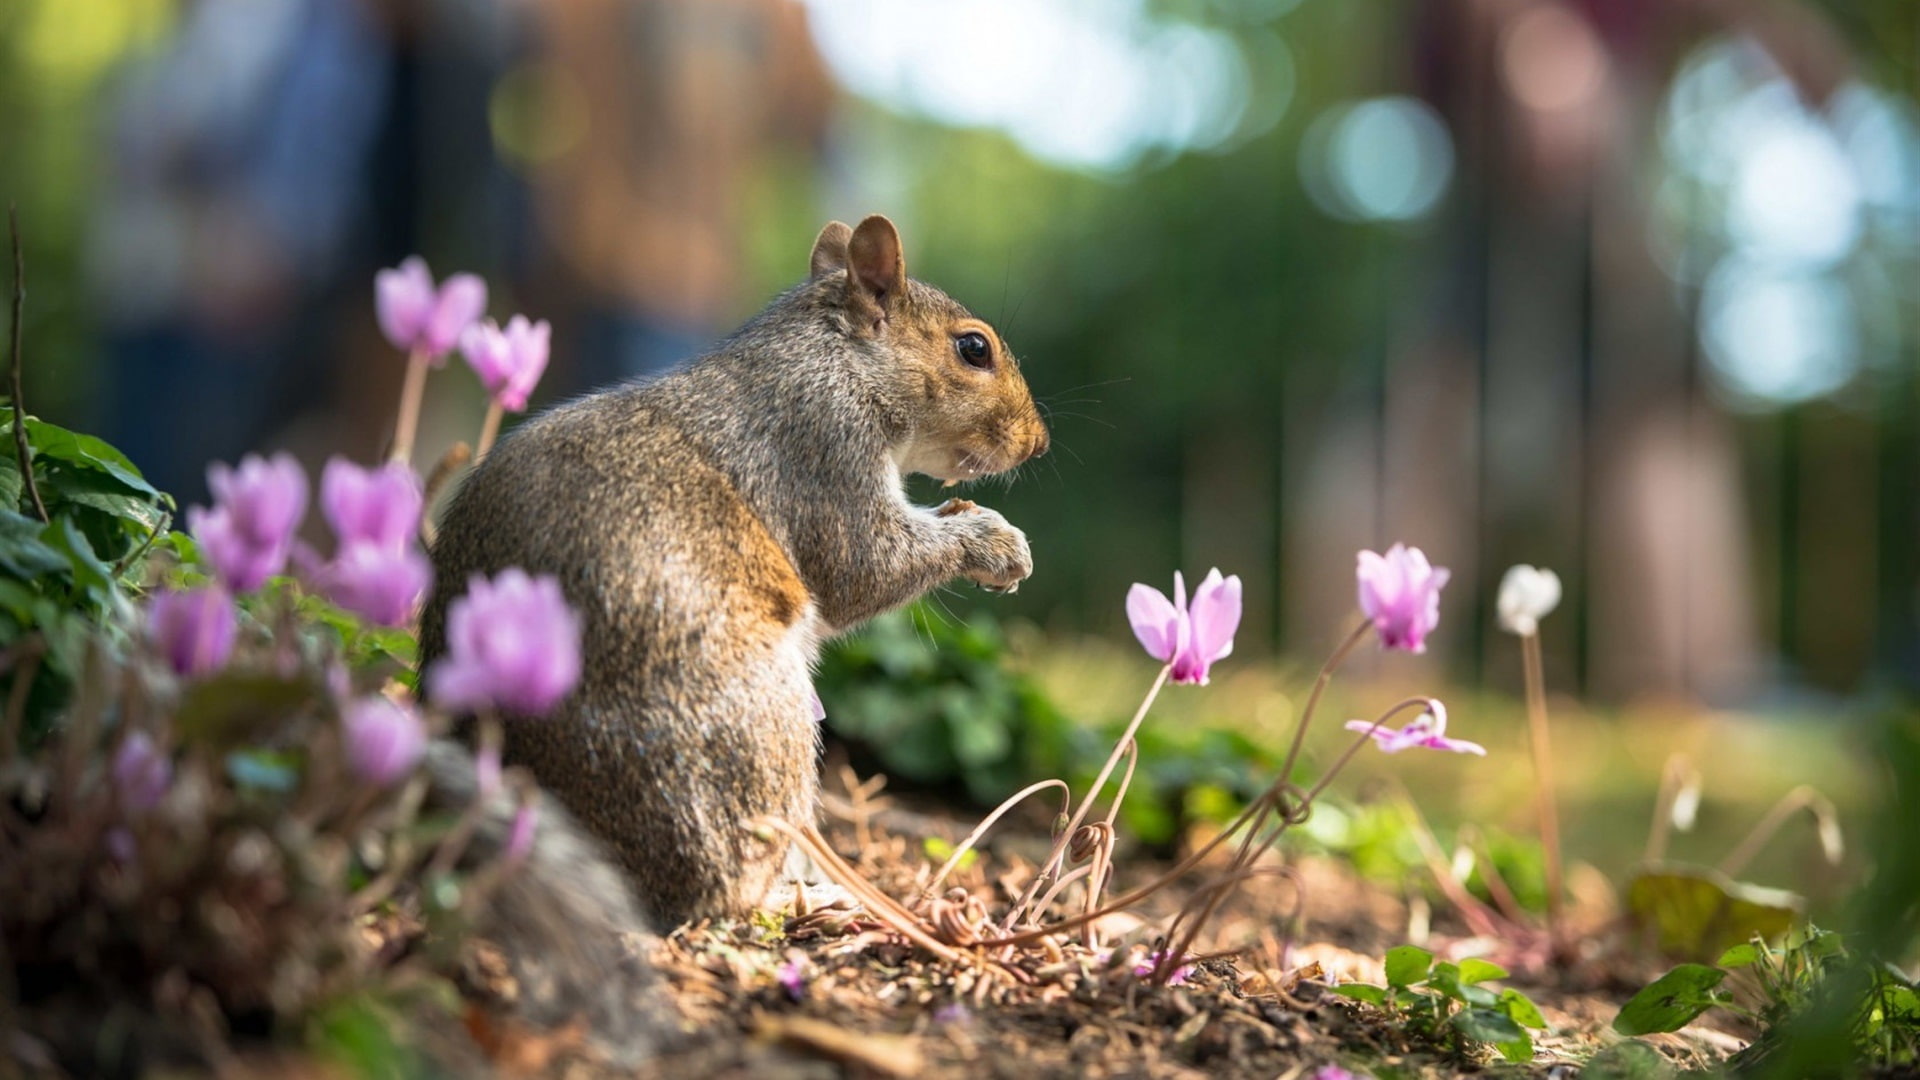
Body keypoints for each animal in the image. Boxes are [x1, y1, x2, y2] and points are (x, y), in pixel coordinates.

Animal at [420, 214, 1048, 933]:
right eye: (974, 349)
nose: (1037, 442)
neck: (832, 357)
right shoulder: (823, 447)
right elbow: (865, 566)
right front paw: (995, 543)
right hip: (760, 728)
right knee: (721, 893)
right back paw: (806, 896)